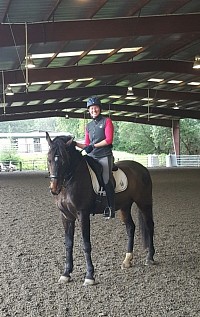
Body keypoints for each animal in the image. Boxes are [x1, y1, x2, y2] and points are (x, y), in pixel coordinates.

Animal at [46, 132, 155, 286]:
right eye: (49, 159)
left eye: (63, 160)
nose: (54, 189)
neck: (71, 180)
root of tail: (142, 168)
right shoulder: (66, 216)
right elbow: (68, 244)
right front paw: (66, 274)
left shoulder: (83, 214)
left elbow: (86, 244)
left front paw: (89, 276)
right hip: (124, 206)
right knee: (130, 227)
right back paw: (127, 260)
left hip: (144, 202)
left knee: (149, 225)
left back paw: (150, 258)